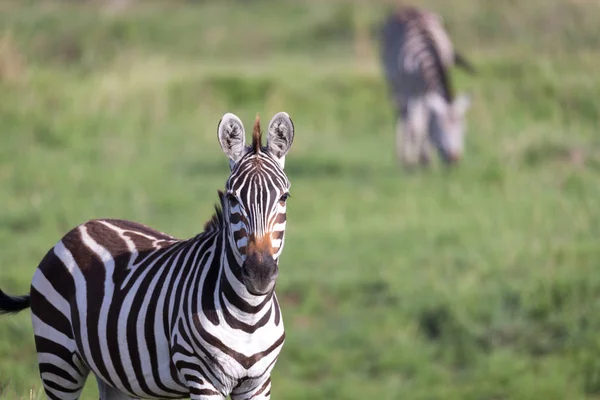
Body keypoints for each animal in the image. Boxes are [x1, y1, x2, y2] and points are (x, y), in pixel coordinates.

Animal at [0, 111, 296, 400]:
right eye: (233, 198)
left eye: (284, 197)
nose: (260, 274)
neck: (249, 314)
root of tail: (77, 229)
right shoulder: (201, 378)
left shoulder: (258, 383)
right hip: (57, 358)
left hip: (112, 373)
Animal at [382, 6, 476, 169]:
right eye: (440, 127)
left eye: (463, 127)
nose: (454, 159)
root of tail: (408, 8)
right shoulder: (408, 88)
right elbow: (417, 124)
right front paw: (420, 160)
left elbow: (426, 117)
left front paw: (427, 158)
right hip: (396, 86)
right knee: (403, 117)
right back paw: (403, 158)